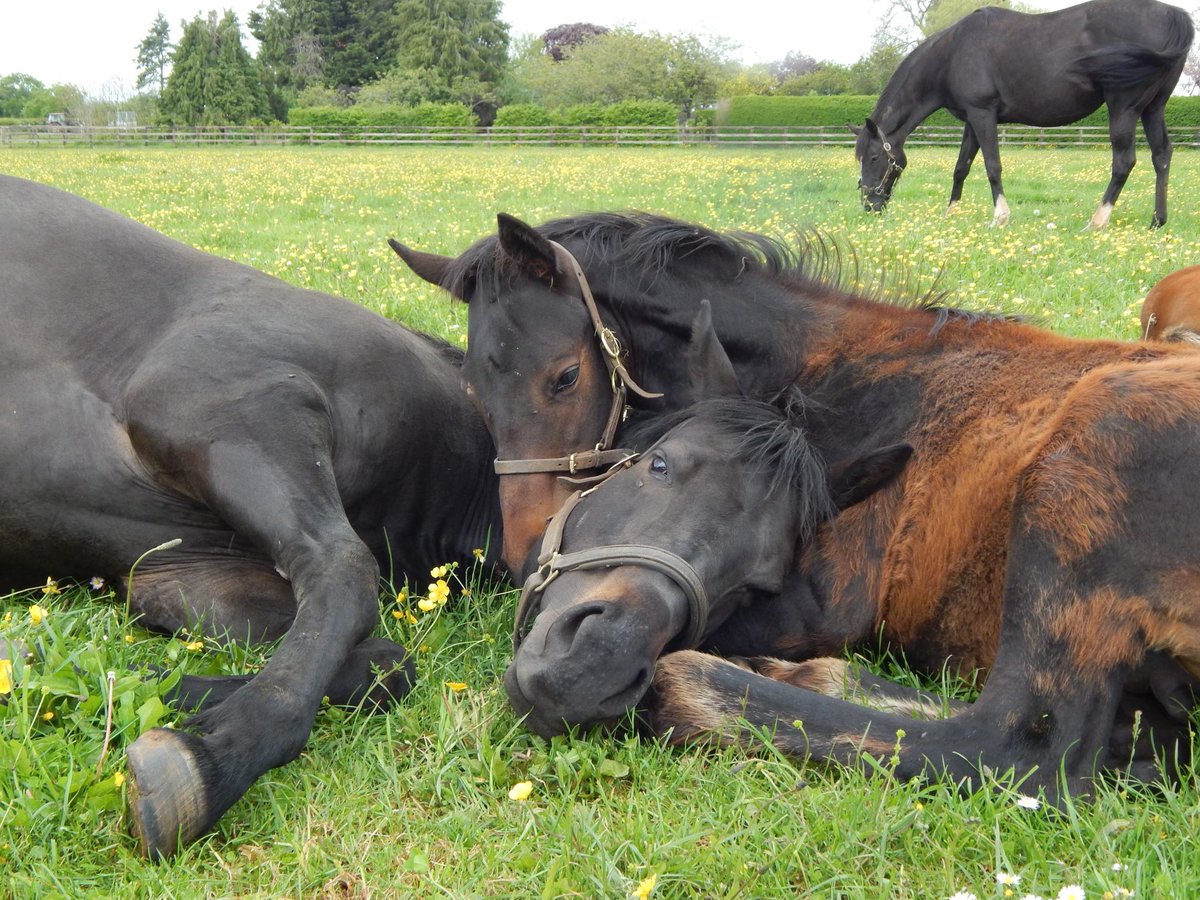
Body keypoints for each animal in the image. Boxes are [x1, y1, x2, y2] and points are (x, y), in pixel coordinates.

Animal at [0, 176, 501, 859]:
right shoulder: (225, 403)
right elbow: (346, 574)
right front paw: (215, 760)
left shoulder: (189, 574)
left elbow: (383, 660)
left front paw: (99, 676)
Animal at [854, 0, 1190, 226]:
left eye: (874, 157)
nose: (869, 206)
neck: (952, 54)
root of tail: (1174, 14)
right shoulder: (972, 120)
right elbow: (961, 167)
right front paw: (951, 213)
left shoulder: (983, 114)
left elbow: (992, 166)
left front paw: (1000, 217)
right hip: (1153, 107)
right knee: (1161, 155)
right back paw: (1157, 221)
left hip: (1124, 108)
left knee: (1124, 161)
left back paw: (1098, 220)